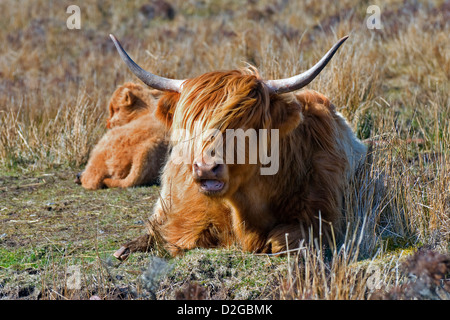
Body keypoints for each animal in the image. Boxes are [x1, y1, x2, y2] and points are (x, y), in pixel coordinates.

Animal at [110, 33, 368, 258]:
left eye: (245, 125)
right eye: (192, 126)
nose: (206, 168)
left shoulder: (325, 218)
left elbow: (282, 239)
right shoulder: (188, 218)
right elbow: (178, 234)